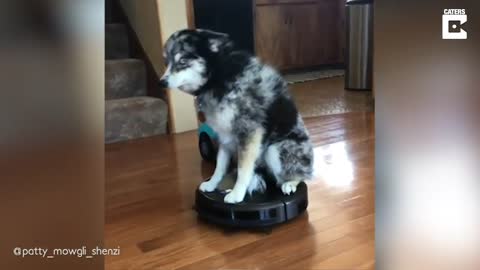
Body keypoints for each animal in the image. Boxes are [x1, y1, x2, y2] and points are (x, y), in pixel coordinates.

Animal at [159, 29, 314, 202]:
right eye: (166, 62)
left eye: (182, 61)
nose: (161, 83)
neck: (217, 76)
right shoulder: (224, 135)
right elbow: (219, 165)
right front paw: (213, 184)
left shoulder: (249, 133)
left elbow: (243, 169)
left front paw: (237, 194)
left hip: (274, 150)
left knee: (297, 176)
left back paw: (290, 183)